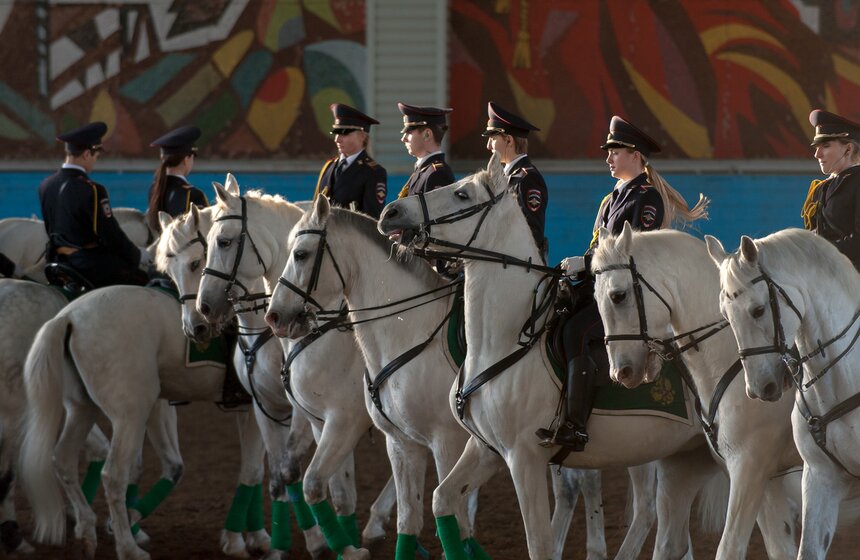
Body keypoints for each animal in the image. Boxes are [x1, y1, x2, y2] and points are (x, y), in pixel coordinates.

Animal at [157, 196, 394, 556]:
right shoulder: (265, 408)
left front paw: (315, 542)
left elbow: (290, 470)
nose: (199, 319)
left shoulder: (313, 415)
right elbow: (279, 477)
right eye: (168, 272)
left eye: (218, 246)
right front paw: (279, 544)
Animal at [266, 197, 660, 560]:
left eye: (300, 254)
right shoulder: (396, 441)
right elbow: (398, 514)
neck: (407, 330)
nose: (275, 316)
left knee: (638, 505)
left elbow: (454, 517)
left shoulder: (430, 437)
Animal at [378, 151, 732, 556]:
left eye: (462, 194)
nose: (391, 212)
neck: (503, 341)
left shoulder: (524, 459)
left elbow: (539, 544)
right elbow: (442, 500)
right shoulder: (485, 449)